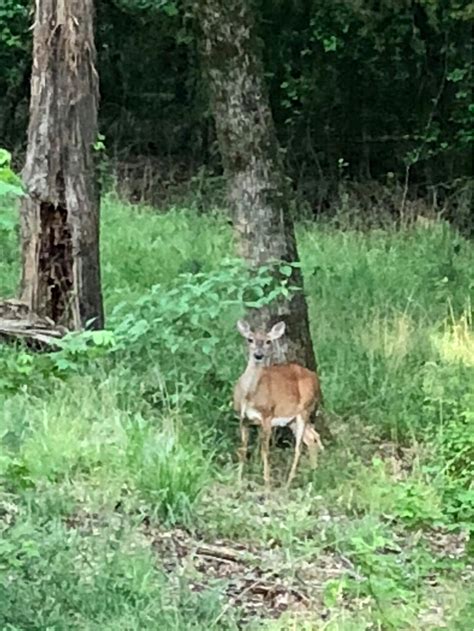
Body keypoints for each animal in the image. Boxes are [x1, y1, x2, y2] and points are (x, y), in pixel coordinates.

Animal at [232, 320, 324, 488]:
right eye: (250, 339)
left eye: (268, 341)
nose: (258, 355)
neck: (249, 396)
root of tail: (315, 377)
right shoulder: (243, 419)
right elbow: (243, 449)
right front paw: (238, 480)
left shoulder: (267, 416)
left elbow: (265, 450)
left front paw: (267, 482)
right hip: (292, 419)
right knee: (312, 438)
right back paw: (313, 474)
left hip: (305, 410)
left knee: (299, 446)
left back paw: (289, 482)